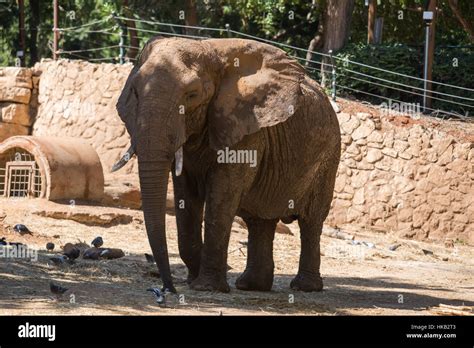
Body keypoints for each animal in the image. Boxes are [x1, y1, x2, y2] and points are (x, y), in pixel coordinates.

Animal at [114, 36, 340, 292]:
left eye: (192, 94)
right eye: (135, 92)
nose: (168, 289)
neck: (208, 50)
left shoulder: (246, 125)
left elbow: (222, 196)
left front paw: (206, 287)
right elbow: (185, 196)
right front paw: (195, 280)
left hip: (329, 156)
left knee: (311, 222)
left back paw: (304, 287)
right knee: (260, 221)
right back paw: (251, 285)